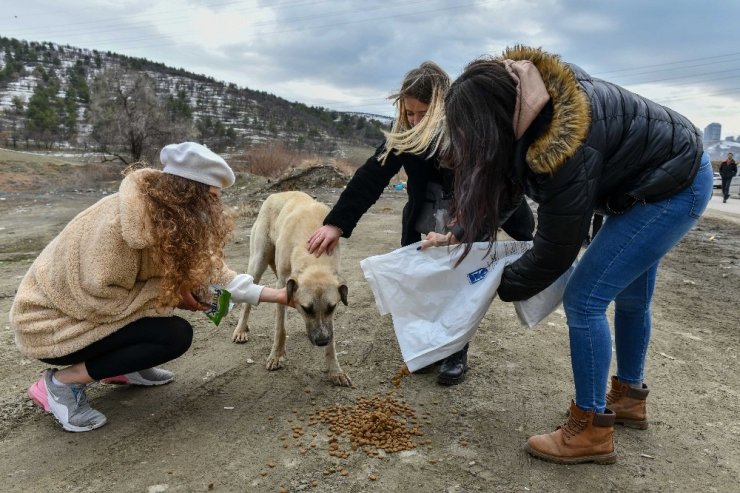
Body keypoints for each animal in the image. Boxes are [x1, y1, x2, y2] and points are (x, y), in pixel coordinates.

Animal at [233, 190, 352, 386]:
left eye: (332, 307)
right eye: (306, 308)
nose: (321, 341)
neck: (313, 258)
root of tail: (276, 194)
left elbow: (332, 337)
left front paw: (335, 370)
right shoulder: (282, 284)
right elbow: (280, 327)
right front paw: (276, 356)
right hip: (258, 260)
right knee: (247, 300)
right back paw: (241, 329)